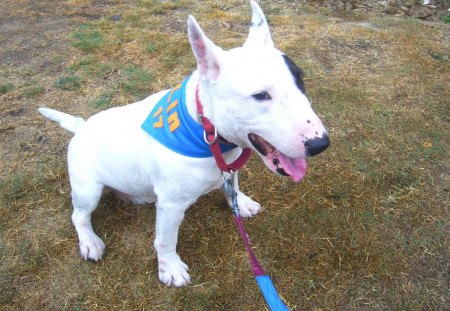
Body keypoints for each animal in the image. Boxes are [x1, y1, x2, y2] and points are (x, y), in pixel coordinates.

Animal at [39, 0, 326, 288]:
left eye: (300, 79)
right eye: (260, 95)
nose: (321, 144)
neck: (207, 133)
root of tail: (81, 126)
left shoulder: (228, 169)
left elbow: (232, 186)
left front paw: (241, 203)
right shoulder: (171, 205)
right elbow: (166, 240)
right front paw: (170, 269)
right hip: (88, 189)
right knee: (79, 216)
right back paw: (90, 241)